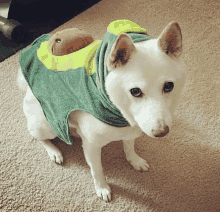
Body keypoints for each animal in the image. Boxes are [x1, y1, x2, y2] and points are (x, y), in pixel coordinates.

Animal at [17, 20, 186, 202]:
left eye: (168, 86)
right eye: (135, 91)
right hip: (45, 125)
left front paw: (134, 160)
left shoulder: (129, 131)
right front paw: (102, 188)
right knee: (39, 137)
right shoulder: (92, 146)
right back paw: (54, 151)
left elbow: (129, 148)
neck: (118, 111)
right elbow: (97, 170)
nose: (161, 132)